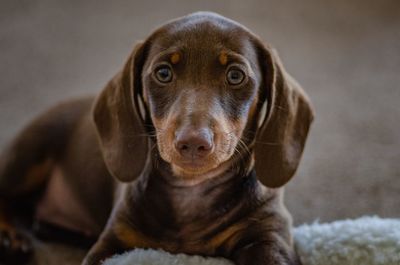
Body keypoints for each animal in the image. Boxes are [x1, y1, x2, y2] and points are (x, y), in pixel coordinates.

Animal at [0, 11, 312, 262]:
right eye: (163, 73)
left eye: (236, 76)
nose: (193, 142)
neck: (191, 190)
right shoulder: (113, 239)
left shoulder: (268, 236)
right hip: (29, 153)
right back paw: (11, 237)